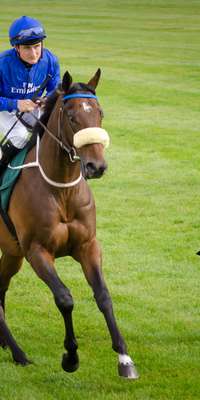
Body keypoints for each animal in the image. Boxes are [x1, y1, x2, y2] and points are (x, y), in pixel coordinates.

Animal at [0, 70, 138, 380]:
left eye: (99, 113)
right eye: (72, 117)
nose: (96, 167)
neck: (60, 190)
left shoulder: (87, 245)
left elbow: (103, 295)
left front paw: (124, 359)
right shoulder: (37, 251)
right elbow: (64, 298)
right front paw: (71, 357)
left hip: (11, 253)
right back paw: (18, 353)